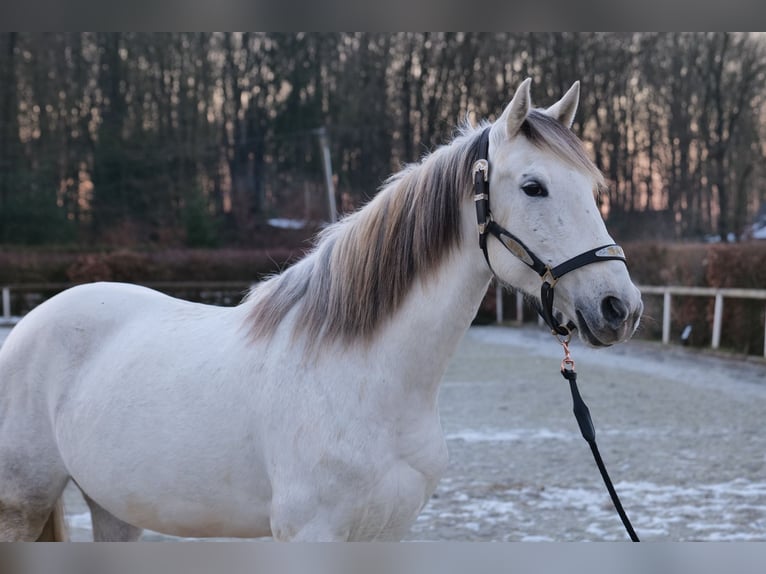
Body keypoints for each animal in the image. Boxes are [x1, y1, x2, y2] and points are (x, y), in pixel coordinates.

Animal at [1, 79, 640, 544]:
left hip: (115, 508)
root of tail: (31, 324)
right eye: (534, 186)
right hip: (22, 506)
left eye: (591, 187)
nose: (621, 308)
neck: (362, 375)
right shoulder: (312, 535)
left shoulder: (388, 534)